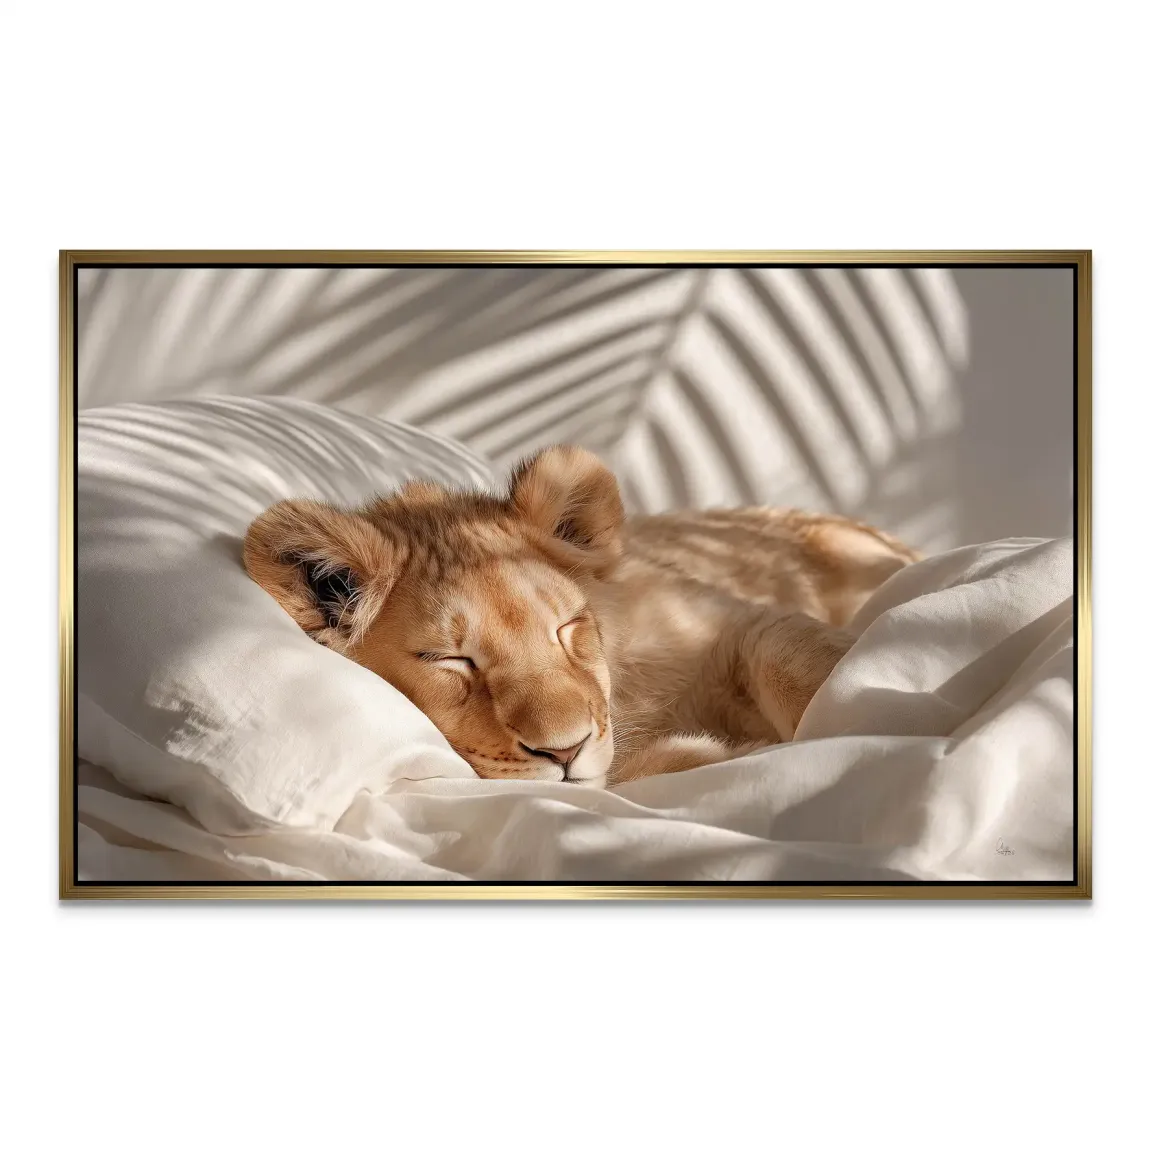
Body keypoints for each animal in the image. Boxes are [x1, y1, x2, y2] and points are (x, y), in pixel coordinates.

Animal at [243, 445, 919, 788]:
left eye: (565, 628)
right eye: (450, 660)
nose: (563, 752)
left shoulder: (726, 620)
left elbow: (792, 654)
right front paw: (724, 754)